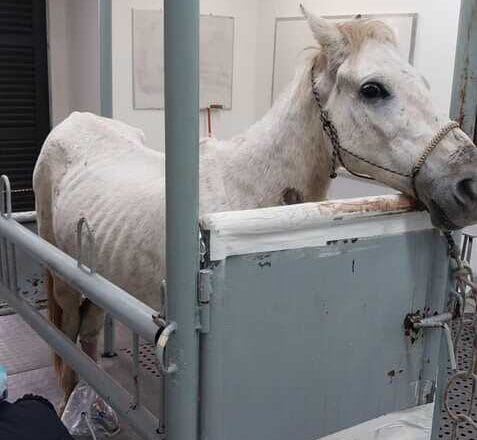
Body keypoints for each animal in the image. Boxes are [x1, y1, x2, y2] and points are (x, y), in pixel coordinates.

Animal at [33, 7, 476, 398]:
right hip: (65, 277)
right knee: (68, 339)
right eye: (372, 89)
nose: (468, 184)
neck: (247, 192)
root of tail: (72, 121)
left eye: (423, 82)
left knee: (89, 336)